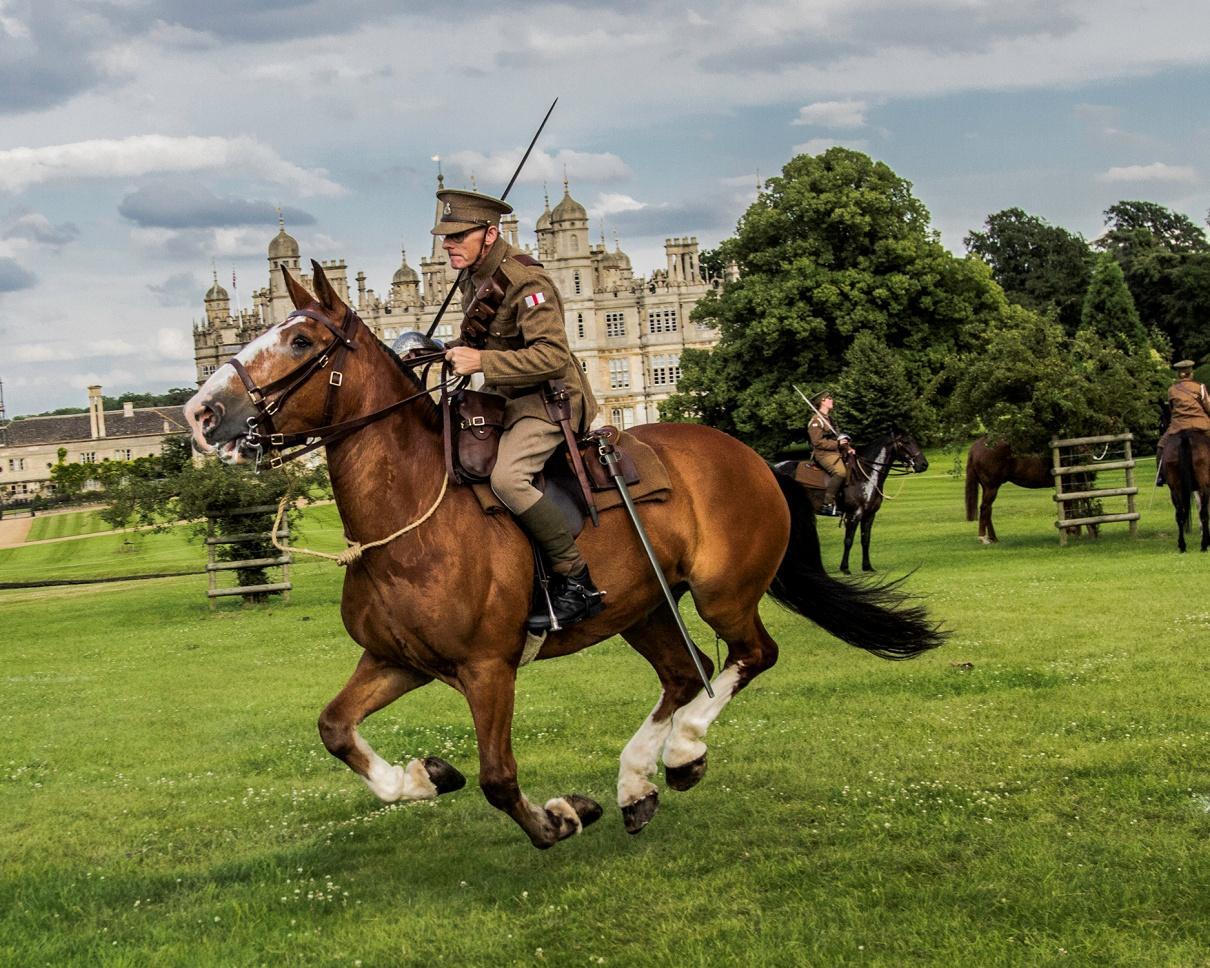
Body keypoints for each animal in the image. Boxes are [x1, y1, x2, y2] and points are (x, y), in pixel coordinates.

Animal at [769, 430, 929, 575]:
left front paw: (867, 566)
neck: (866, 474)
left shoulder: (869, 516)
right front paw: (845, 568)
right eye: (905, 442)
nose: (923, 464)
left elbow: (865, 540)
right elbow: (848, 540)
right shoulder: (853, 515)